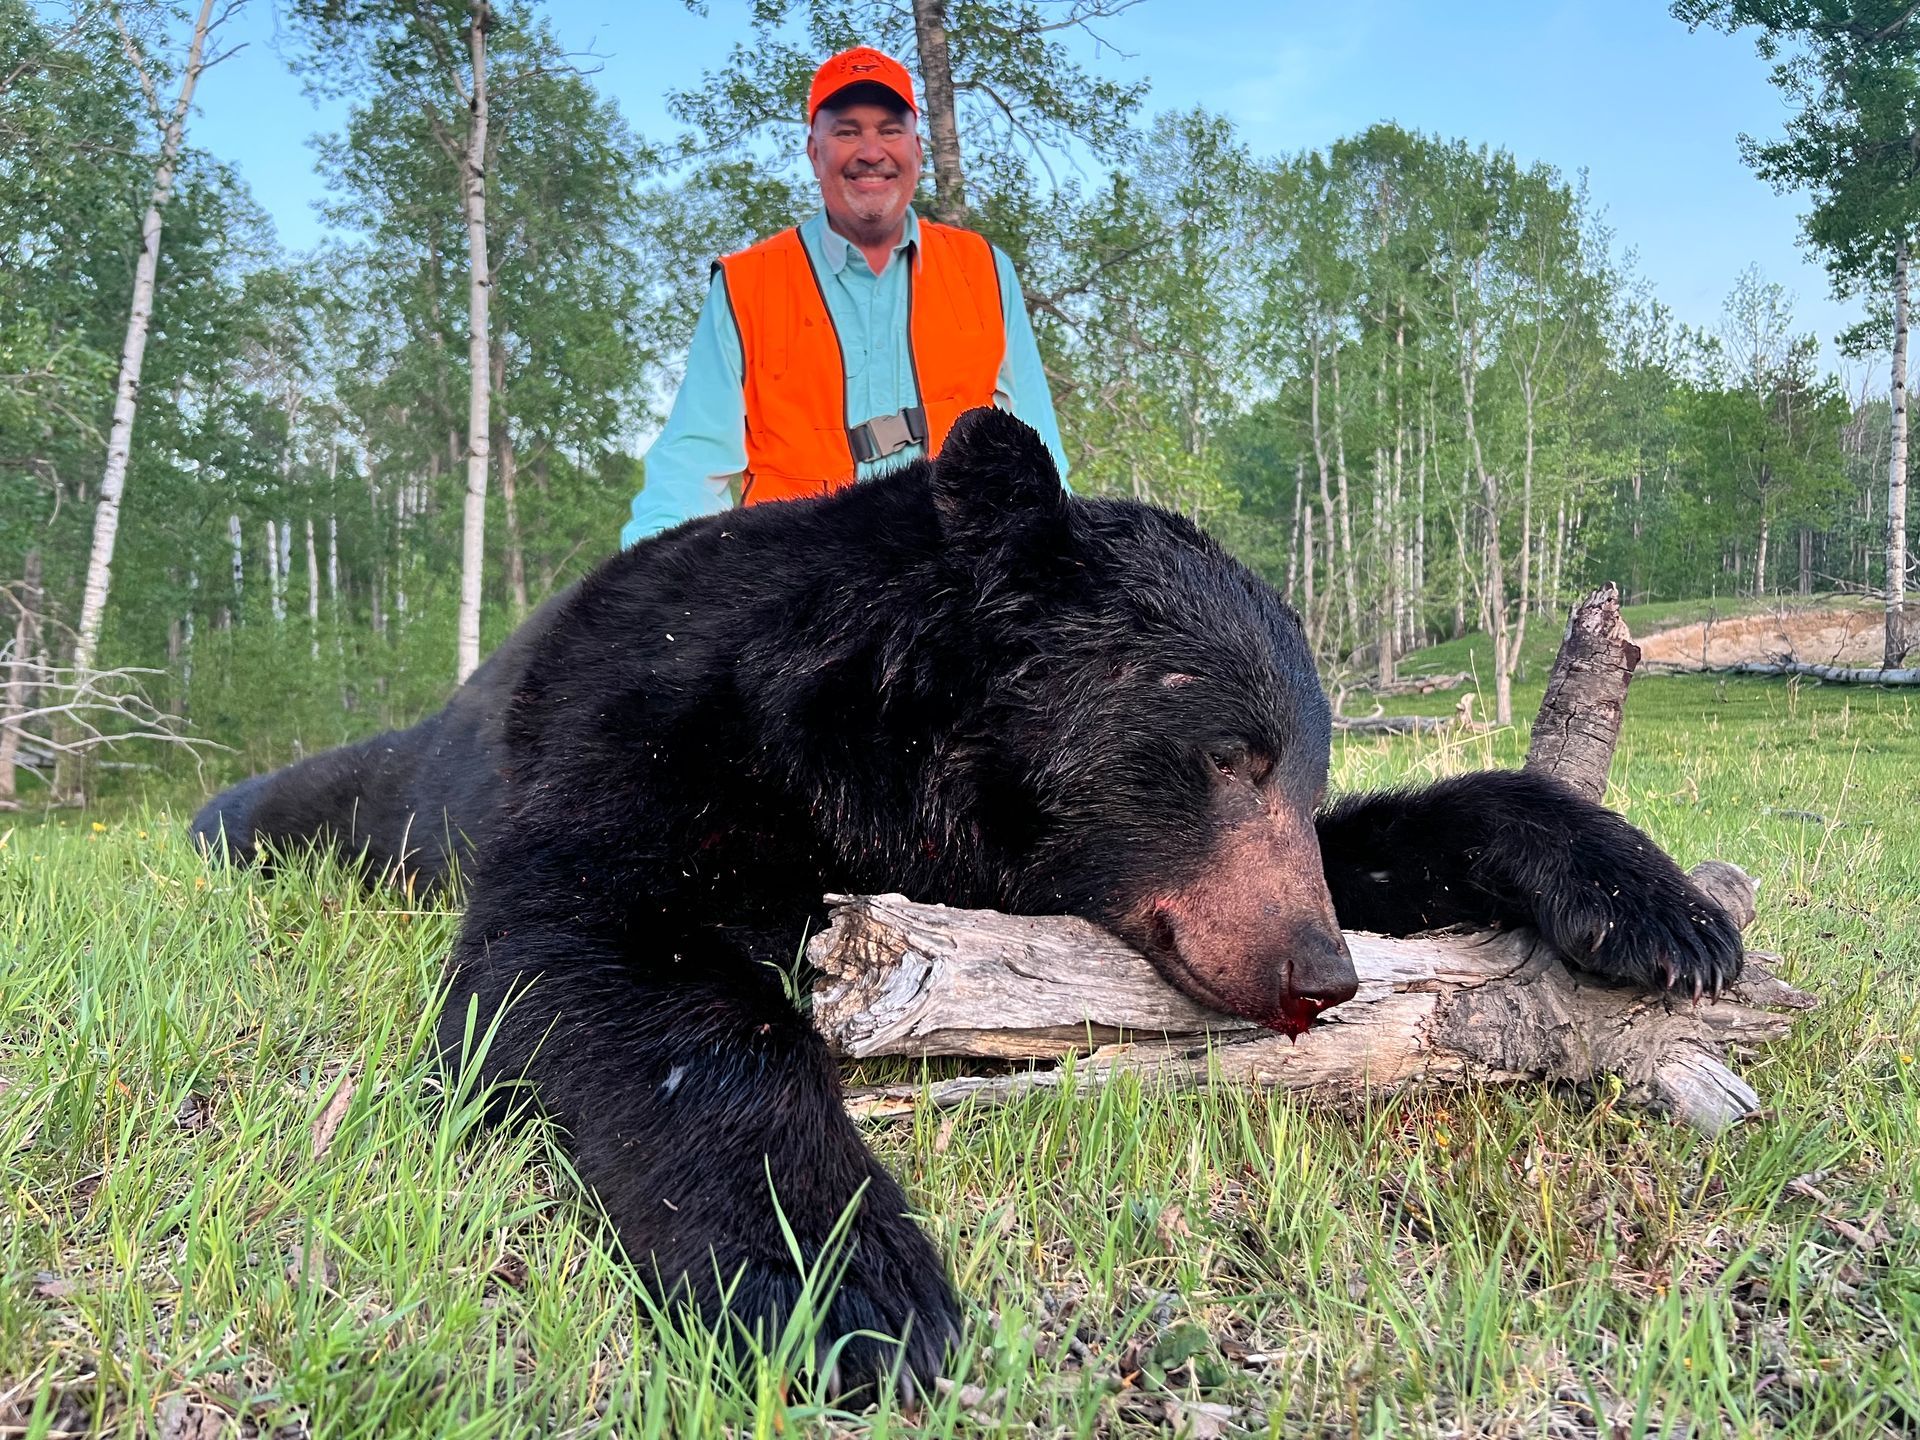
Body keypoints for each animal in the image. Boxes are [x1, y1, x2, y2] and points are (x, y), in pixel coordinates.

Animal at [194, 407, 1743, 1396]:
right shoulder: (648, 733)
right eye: (1223, 752)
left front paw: (1660, 911)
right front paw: (852, 1290)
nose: (1323, 971)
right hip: (379, 796)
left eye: (1297, 773)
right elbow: (598, 950)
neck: (866, 743)